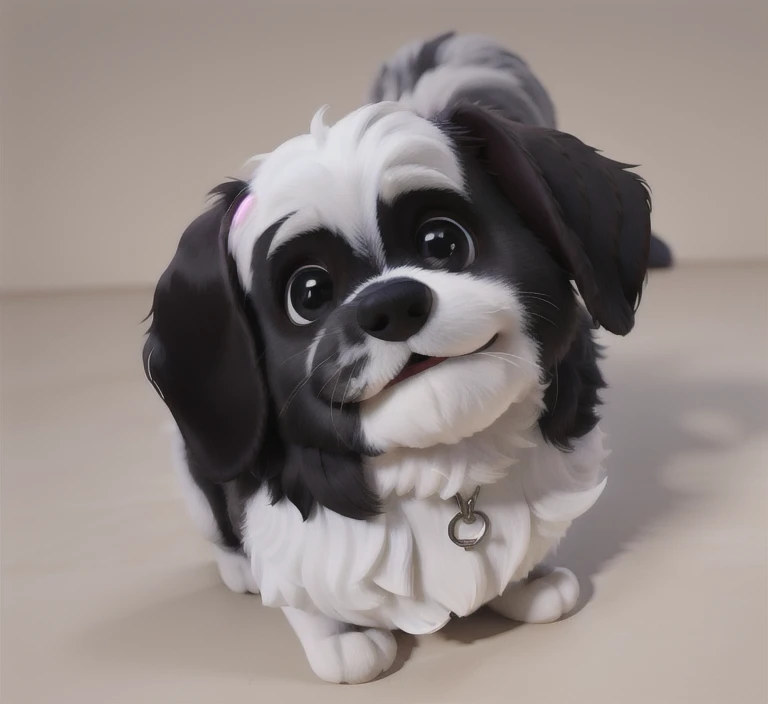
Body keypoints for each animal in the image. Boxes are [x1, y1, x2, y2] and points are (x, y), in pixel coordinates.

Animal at [141, 31, 652, 680]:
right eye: (309, 294)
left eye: (443, 240)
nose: (391, 305)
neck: (447, 460)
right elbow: (306, 595)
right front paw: (343, 638)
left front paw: (530, 583)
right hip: (195, 469)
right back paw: (239, 570)